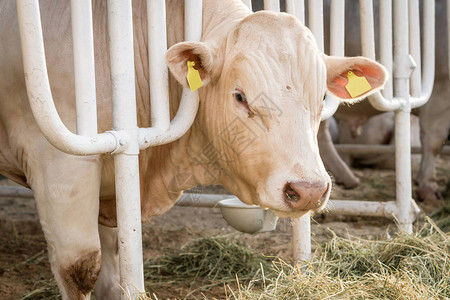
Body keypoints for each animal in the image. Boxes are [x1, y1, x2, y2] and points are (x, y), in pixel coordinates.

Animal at [0, 0, 386, 298]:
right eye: (240, 97)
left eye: (321, 97)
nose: (308, 190)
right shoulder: (61, 166)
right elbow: (80, 267)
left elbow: (114, 263)